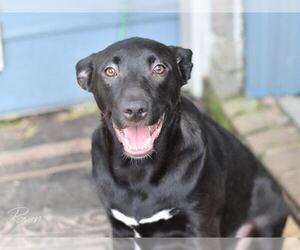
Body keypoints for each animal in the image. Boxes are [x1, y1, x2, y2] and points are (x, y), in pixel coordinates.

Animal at [75, 37, 288, 240]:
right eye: (110, 71)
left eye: (159, 68)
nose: (135, 110)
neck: (139, 171)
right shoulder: (120, 229)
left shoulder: (201, 226)